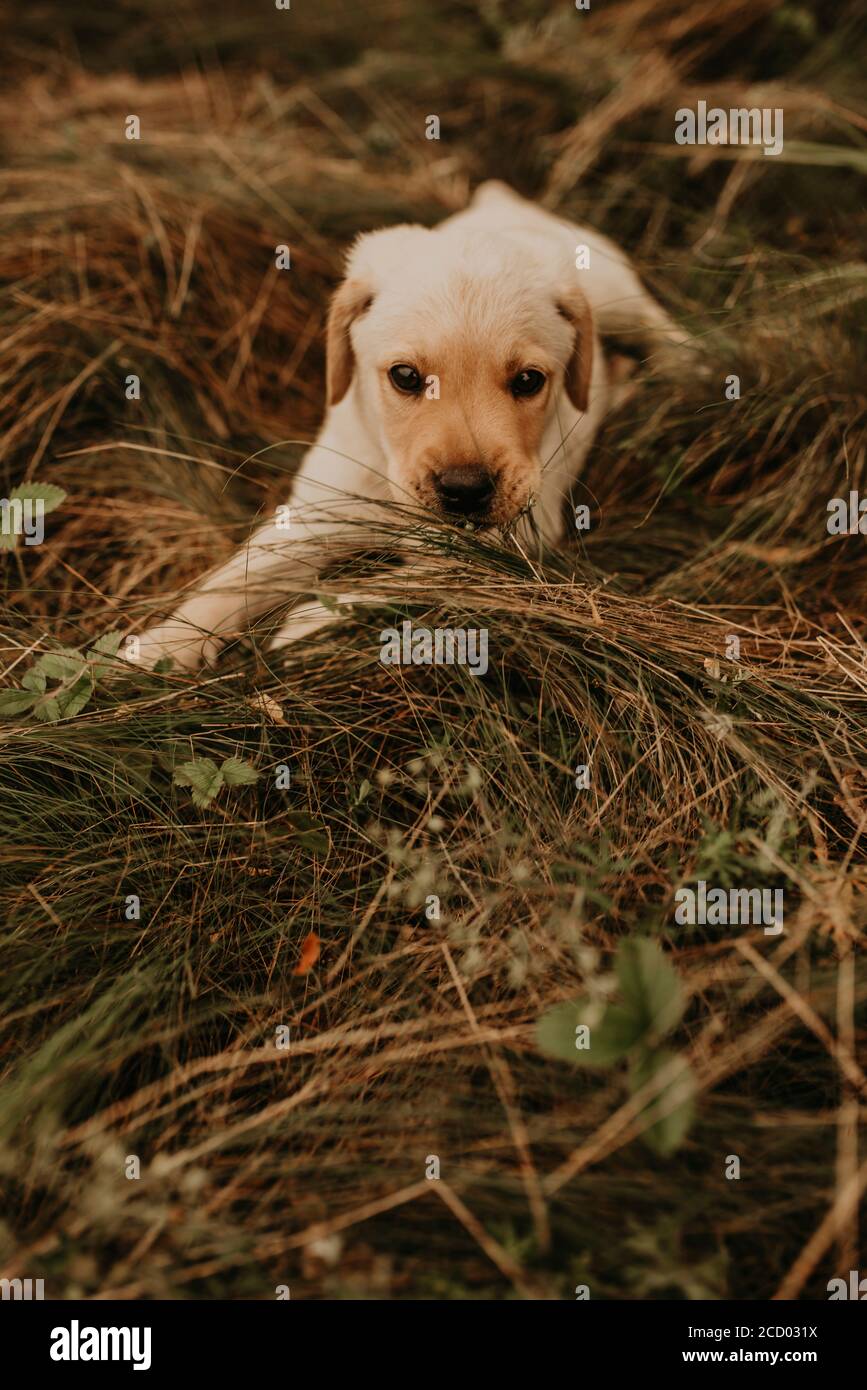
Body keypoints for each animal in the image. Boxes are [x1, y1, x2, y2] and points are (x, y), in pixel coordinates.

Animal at [131, 182, 686, 669]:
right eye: (405, 377)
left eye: (529, 381)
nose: (465, 490)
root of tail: (504, 201)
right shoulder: (319, 509)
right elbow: (237, 577)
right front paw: (160, 646)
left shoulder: (509, 545)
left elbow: (408, 580)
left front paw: (311, 622)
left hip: (614, 297)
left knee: (659, 327)